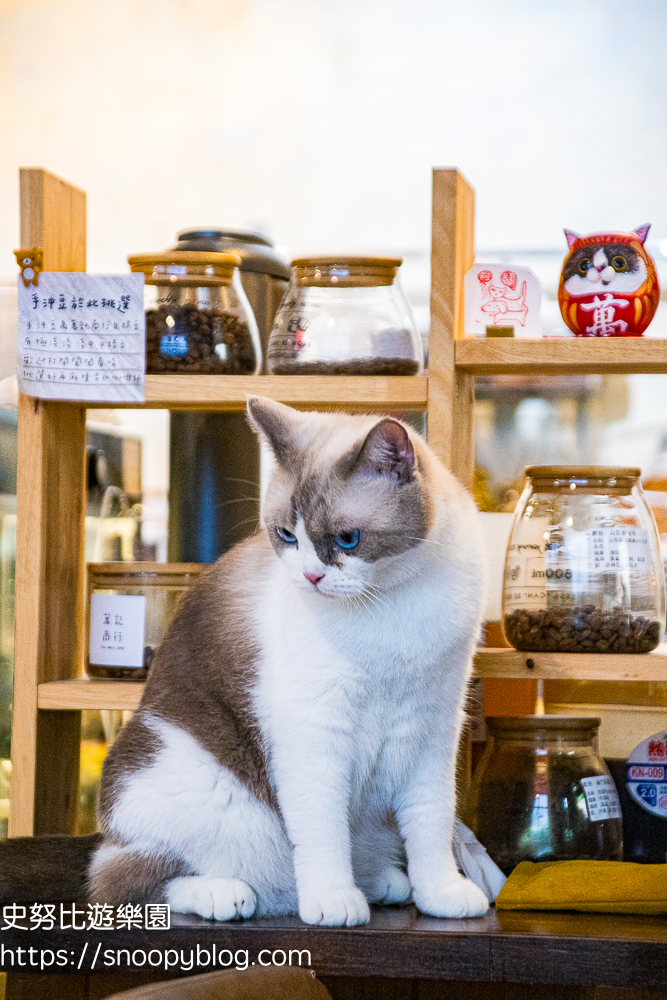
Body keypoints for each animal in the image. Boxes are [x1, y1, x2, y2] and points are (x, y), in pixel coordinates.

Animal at [86, 394, 488, 924]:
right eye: (286, 535)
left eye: (347, 539)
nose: (312, 577)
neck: (391, 599)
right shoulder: (316, 733)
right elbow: (323, 830)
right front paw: (333, 901)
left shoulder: (433, 729)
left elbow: (431, 823)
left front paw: (441, 895)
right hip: (201, 790)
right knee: (132, 881)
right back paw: (230, 894)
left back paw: (380, 883)